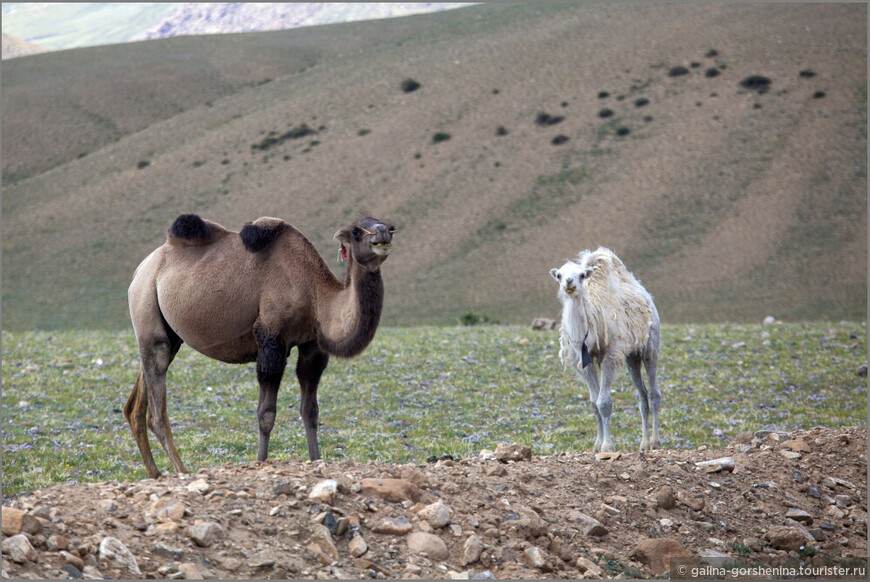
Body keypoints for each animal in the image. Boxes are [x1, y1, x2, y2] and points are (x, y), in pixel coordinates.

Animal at [124, 214, 396, 480]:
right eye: (357, 232)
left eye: (390, 227)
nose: (383, 234)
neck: (314, 293)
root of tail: (140, 270)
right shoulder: (271, 339)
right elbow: (266, 414)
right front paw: (261, 462)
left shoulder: (312, 347)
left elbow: (311, 411)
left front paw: (316, 460)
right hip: (145, 305)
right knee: (156, 406)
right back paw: (182, 471)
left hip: (169, 334)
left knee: (138, 400)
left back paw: (155, 472)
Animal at [548, 249, 664, 454]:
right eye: (559, 275)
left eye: (581, 275)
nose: (569, 282)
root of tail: (648, 297)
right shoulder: (582, 362)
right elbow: (594, 403)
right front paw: (596, 445)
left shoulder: (611, 355)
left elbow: (604, 403)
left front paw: (607, 446)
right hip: (631, 357)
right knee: (641, 395)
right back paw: (644, 443)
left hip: (651, 347)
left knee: (653, 394)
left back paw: (655, 442)